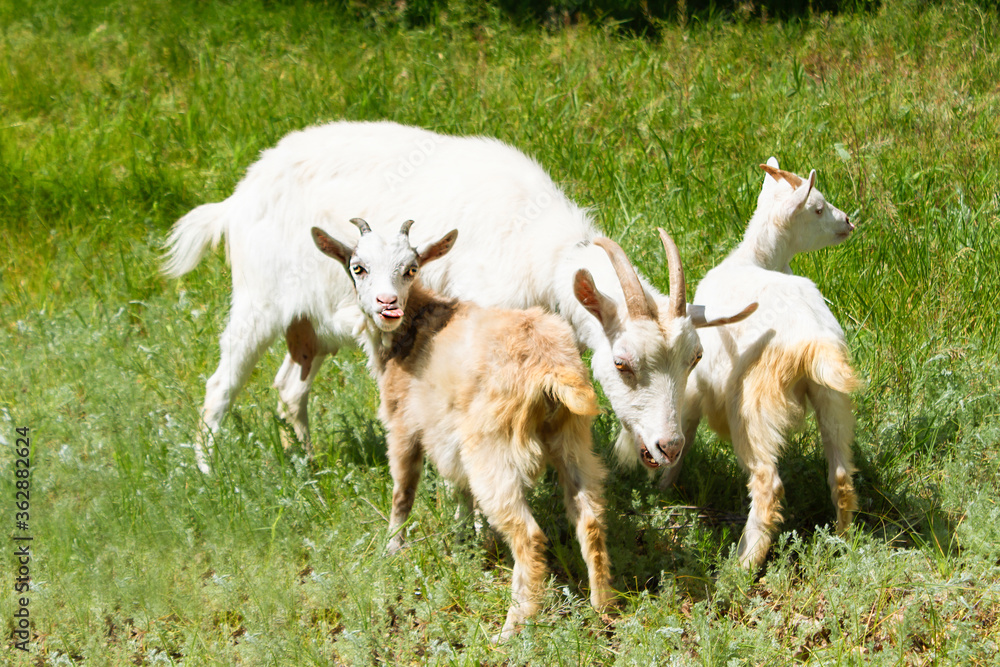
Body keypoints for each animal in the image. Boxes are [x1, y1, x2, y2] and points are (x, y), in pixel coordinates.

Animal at [162, 121, 756, 473]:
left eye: (694, 359)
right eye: (622, 363)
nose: (669, 447)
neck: (537, 244)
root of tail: (237, 197)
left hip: (312, 323)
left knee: (290, 386)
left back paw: (307, 465)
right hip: (257, 299)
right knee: (221, 383)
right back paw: (209, 472)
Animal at [311, 217, 616, 641]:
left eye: (411, 269)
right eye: (358, 268)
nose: (387, 305)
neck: (415, 326)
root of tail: (550, 369)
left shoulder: (403, 423)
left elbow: (403, 491)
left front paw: (392, 548)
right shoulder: (448, 434)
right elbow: (459, 488)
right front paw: (466, 538)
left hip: (493, 447)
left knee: (528, 536)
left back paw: (513, 626)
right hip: (572, 439)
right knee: (590, 518)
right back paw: (603, 606)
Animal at [662, 158, 859, 569]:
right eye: (819, 208)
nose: (849, 221)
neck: (754, 259)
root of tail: (813, 343)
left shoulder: (695, 382)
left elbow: (684, 430)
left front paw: (660, 488)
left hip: (753, 407)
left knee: (768, 483)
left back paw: (743, 564)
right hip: (833, 398)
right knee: (841, 474)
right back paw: (843, 542)